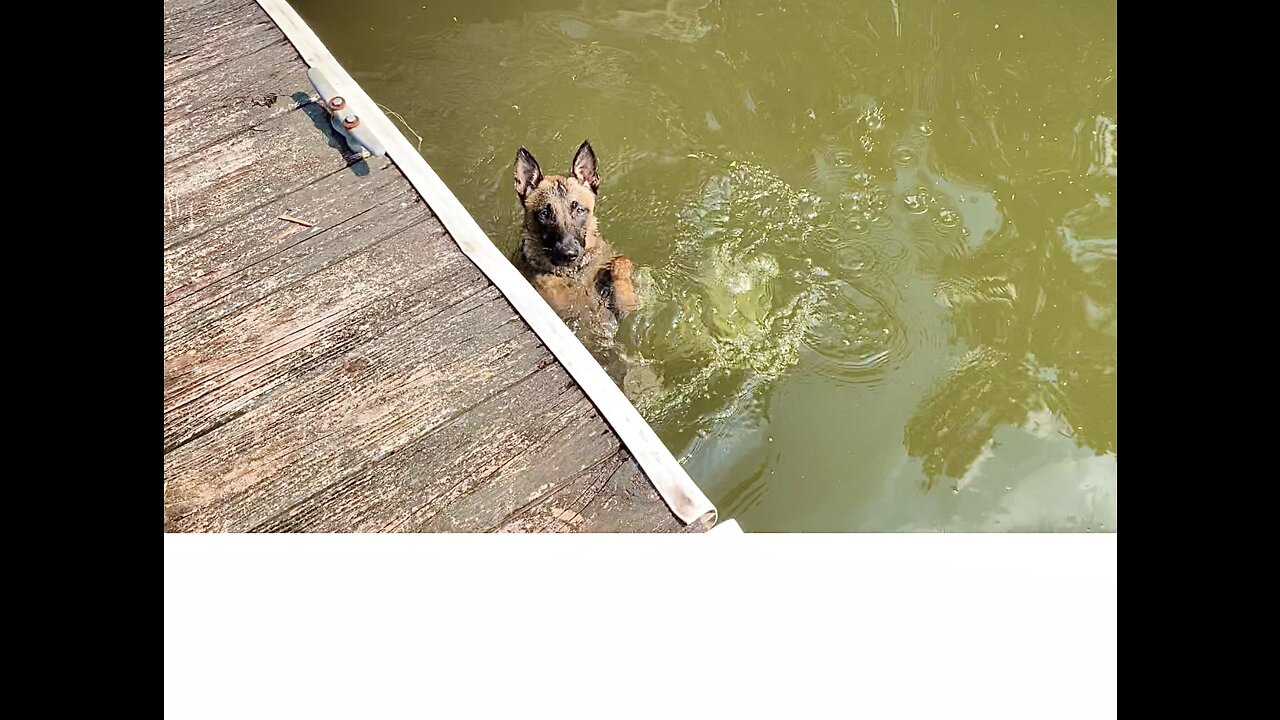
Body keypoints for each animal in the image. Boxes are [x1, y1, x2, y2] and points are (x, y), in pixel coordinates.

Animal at [504, 139, 634, 324]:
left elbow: (622, 260)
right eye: (544, 214)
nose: (569, 254)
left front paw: (625, 299)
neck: (574, 272)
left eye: (579, 209)